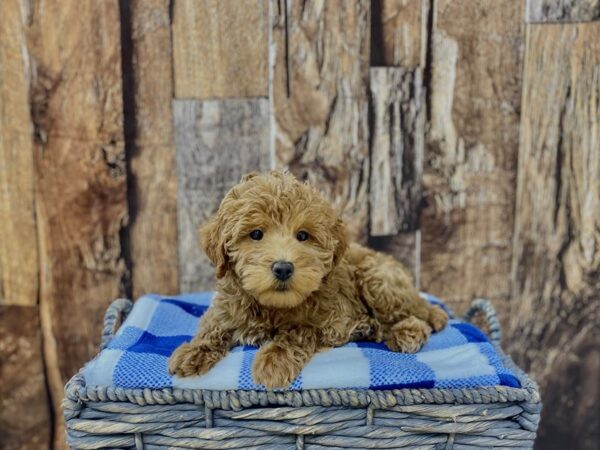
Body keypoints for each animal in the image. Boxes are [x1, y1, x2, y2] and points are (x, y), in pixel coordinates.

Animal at [169, 171, 446, 388]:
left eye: (303, 236)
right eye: (256, 234)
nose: (283, 268)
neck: (272, 306)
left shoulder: (332, 322)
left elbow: (299, 330)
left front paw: (274, 360)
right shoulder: (225, 307)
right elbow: (212, 326)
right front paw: (192, 352)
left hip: (378, 280)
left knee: (418, 315)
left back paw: (408, 333)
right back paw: (371, 328)